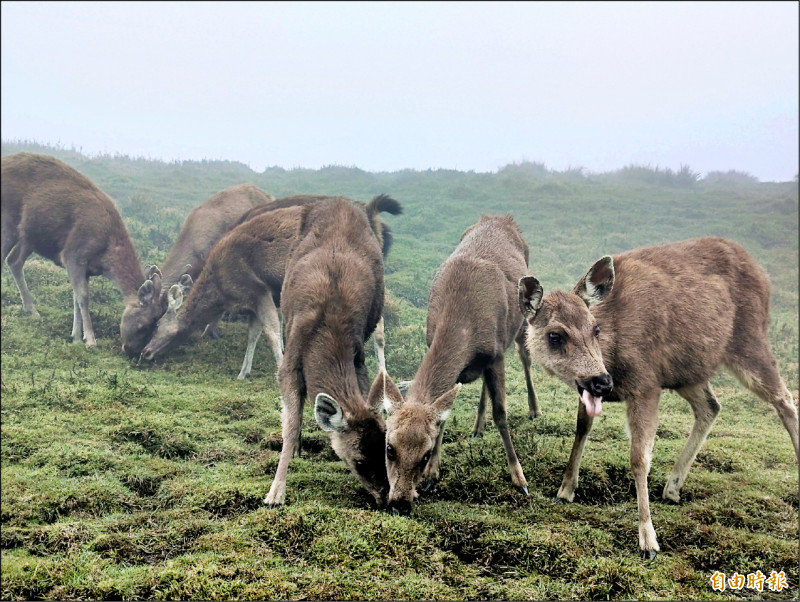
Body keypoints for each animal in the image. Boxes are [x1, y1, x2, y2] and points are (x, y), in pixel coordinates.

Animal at [1, 152, 145, 347]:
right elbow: (83, 296)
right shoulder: (73, 255)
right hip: (8, 220)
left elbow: (76, 297)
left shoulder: (86, 269)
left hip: (29, 236)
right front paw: (90, 339)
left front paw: (76, 336)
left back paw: (31, 309)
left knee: (14, 260)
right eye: (144, 324)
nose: (139, 352)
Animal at [264, 197, 404, 508]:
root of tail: (344, 202)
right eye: (360, 461)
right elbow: (290, 422)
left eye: (387, 452)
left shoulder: (358, 357)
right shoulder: (289, 362)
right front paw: (275, 493)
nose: (385, 499)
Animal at [382, 215, 538, 515]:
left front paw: (520, 479)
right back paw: (477, 427)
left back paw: (534, 409)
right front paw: (432, 476)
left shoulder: (496, 353)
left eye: (424, 454)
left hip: (518, 324)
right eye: (389, 448)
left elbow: (502, 414)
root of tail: (502, 218)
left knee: (525, 355)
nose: (400, 503)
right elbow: (444, 414)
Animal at [517, 236, 799, 559]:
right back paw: (672, 488)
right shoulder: (590, 389)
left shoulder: (646, 384)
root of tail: (761, 274)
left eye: (595, 329)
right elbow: (581, 430)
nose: (603, 381)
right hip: (688, 371)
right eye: (555, 335)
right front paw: (564, 491)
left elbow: (639, 458)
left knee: (784, 398)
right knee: (711, 406)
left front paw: (648, 540)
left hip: (749, 340)